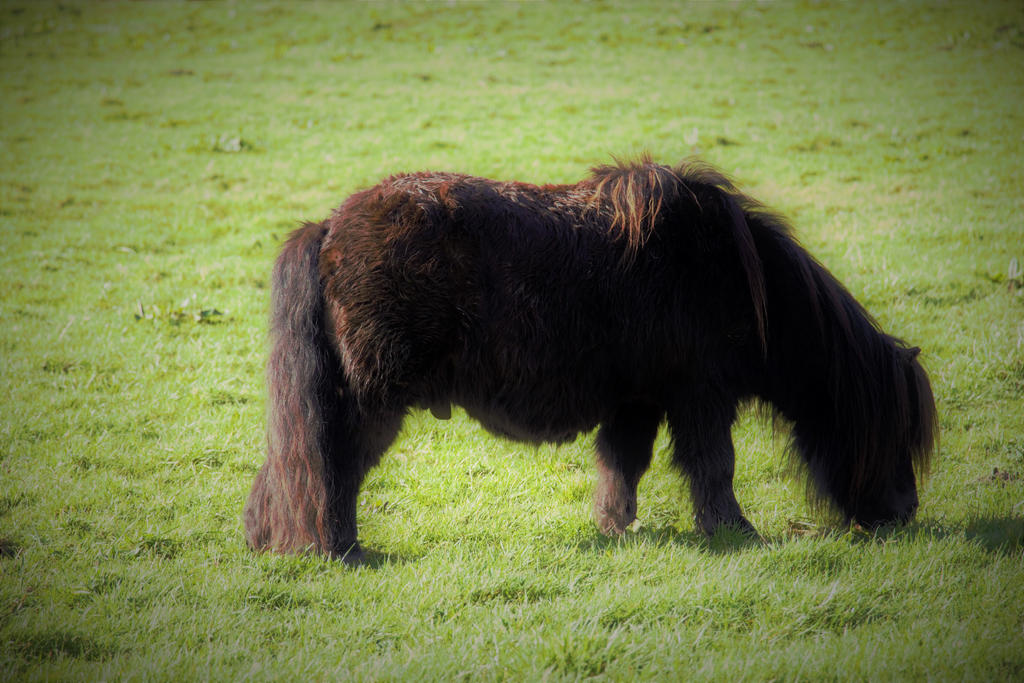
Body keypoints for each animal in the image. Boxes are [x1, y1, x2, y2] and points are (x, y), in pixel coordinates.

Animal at [243, 157, 937, 564]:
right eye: (892, 430)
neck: (738, 276)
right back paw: (338, 551)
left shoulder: (640, 400)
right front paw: (735, 533)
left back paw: (272, 544)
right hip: (371, 405)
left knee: (293, 468)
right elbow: (713, 467)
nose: (904, 513)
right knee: (328, 468)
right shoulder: (700, 398)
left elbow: (623, 466)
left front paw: (615, 529)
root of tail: (328, 228)